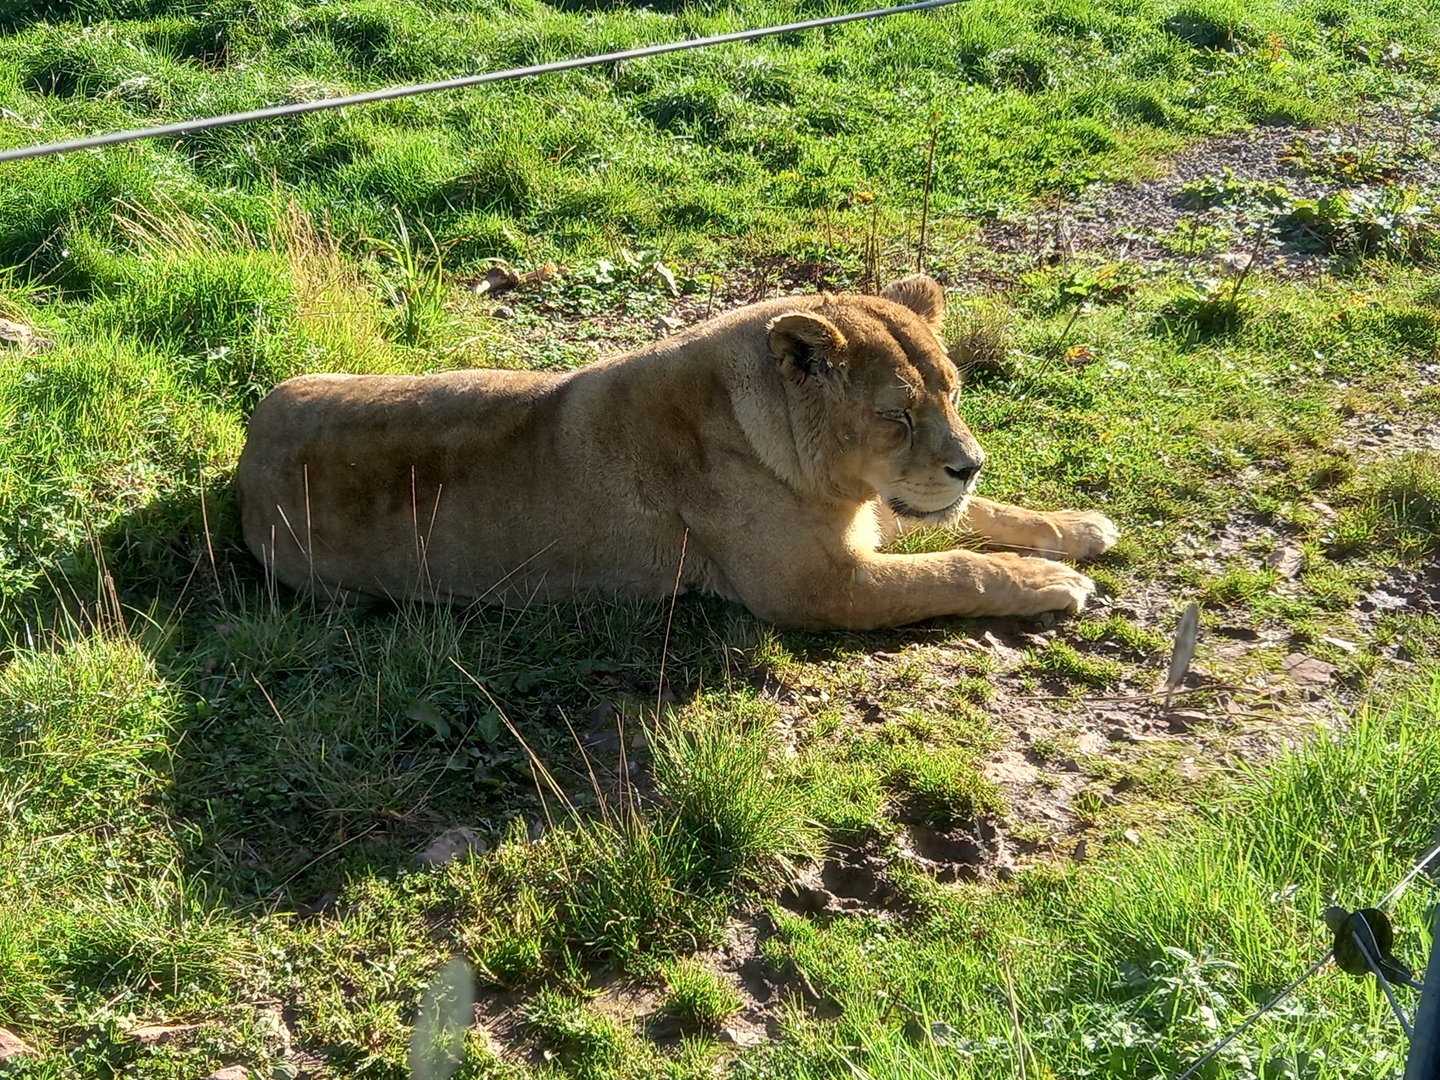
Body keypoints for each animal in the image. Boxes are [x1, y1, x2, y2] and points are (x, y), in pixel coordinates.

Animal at [236, 275, 1118, 630]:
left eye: (955, 393)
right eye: (897, 415)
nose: (968, 462)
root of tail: (242, 462)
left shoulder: (861, 513)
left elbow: (983, 519)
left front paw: (1077, 526)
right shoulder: (814, 588)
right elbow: (955, 568)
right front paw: (1051, 582)